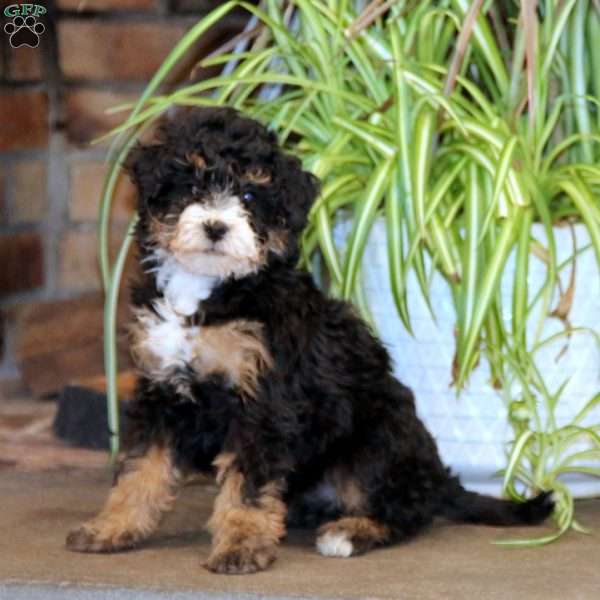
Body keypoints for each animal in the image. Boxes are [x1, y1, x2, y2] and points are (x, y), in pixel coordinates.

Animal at [67, 106, 552, 572]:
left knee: (405, 509)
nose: (215, 227)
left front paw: (241, 546)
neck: (209, 292)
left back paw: (350, 532)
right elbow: (140, 471)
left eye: (249, 196)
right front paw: (110, 527)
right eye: (190, 187)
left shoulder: (263, 404)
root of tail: (436, 478)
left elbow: (247, 486)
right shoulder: (161, 391)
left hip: (374, 442)